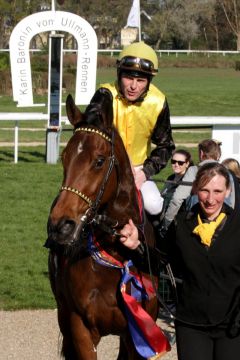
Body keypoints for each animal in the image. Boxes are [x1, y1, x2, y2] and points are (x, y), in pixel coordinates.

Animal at [45, 88, 169, 360]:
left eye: (99, 161)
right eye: (64, 157)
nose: (60, 225)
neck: (116, 252)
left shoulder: (138, 333)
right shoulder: (79, 328)